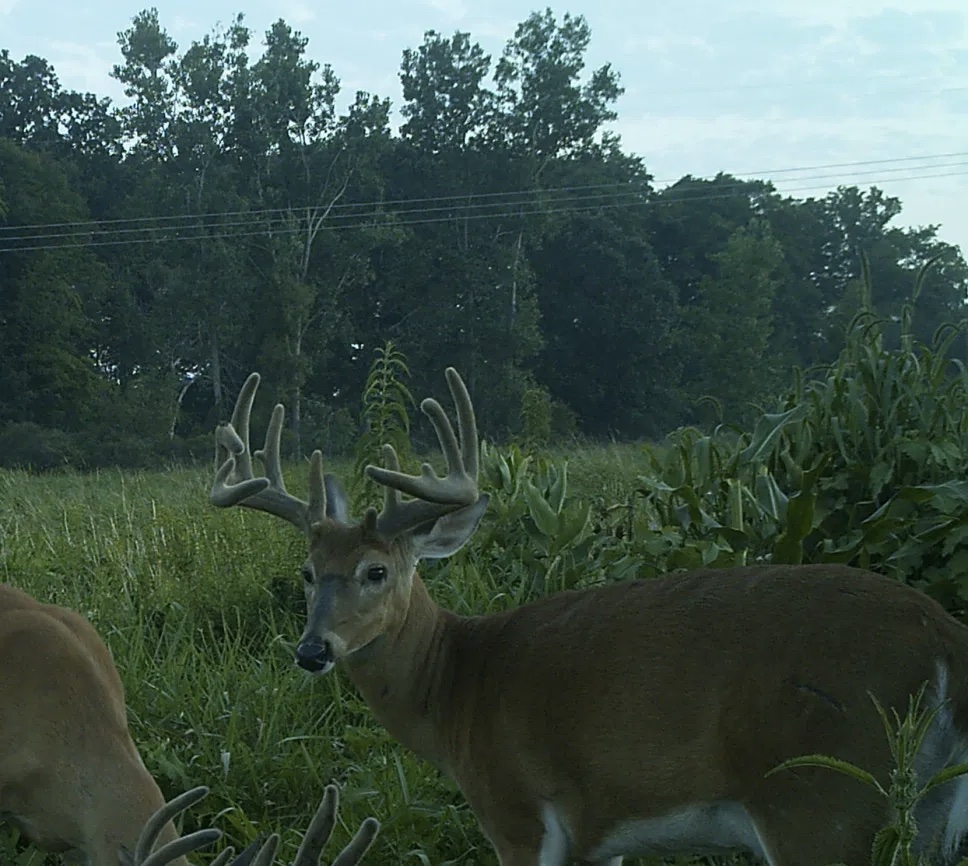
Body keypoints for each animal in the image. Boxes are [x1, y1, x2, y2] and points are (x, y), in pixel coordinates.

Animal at [210, 366, 968, 864]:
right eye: (308, 574)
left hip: (820, 798)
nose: (313, 650)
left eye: (378, 571)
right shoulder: (599, 834)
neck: (455, 690)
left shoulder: (518, 812)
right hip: (926, 809)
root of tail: (944, 636)